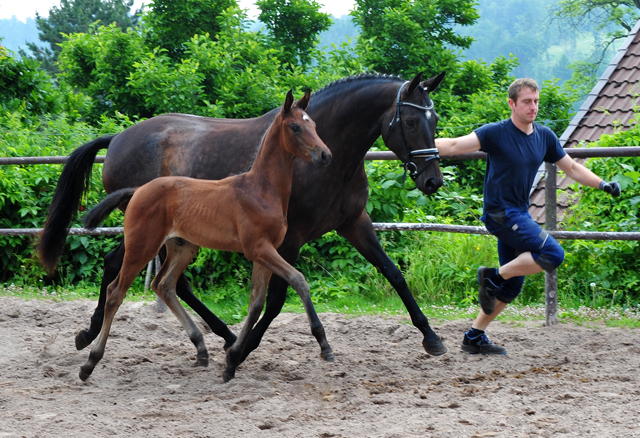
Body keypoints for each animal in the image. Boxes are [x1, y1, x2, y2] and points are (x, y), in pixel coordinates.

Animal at [80, 90, 336, 382]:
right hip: (142, 247)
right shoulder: (259, 248)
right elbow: (298, 280)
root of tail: (137, 191)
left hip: (182, 247)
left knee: (164, 285)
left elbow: (256, 303)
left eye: (313, 124)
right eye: (295, 127)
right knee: (116, 292)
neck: (262, 189)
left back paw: (201, 348)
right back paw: (90, 362)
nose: (325, 155)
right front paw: (324, 344)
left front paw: (233, 360)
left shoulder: (264, 252)